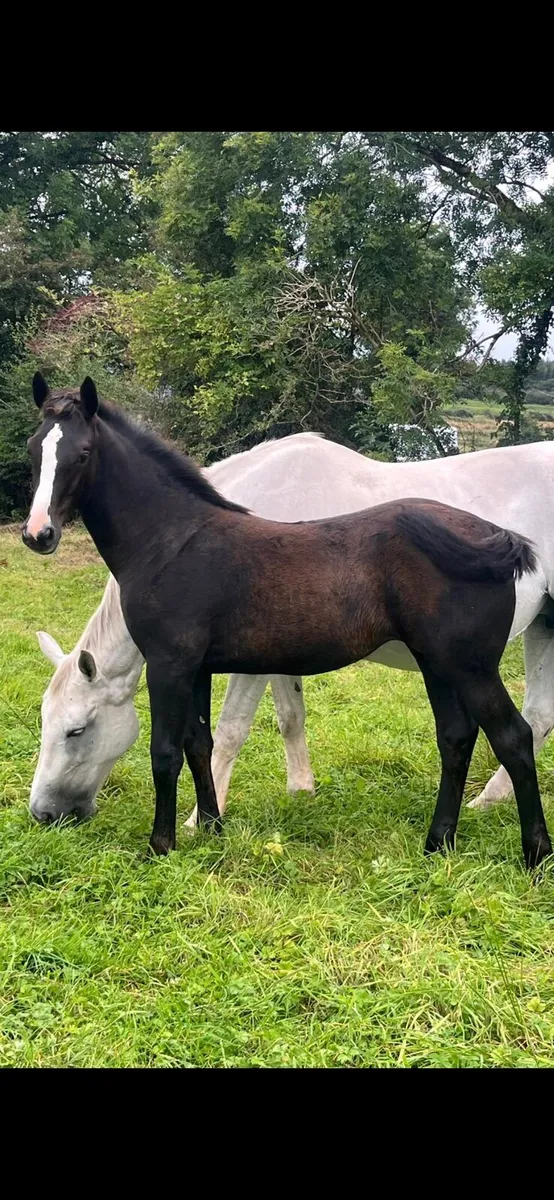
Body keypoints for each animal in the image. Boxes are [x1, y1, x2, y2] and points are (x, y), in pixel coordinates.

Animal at [21, 374, 552, 868]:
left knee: (515, 737)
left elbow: (174, 750)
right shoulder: (201, 667)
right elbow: (205, 740)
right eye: (33, 448)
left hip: (471, 668)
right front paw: (213, 826)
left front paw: (165, 843)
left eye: (76, 729)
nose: (45, 814)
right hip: (443, 664)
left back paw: (534, 853)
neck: (175, 541)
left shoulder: (171, 666)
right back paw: (438, 843)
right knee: (459, 738)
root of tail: (498, 539)